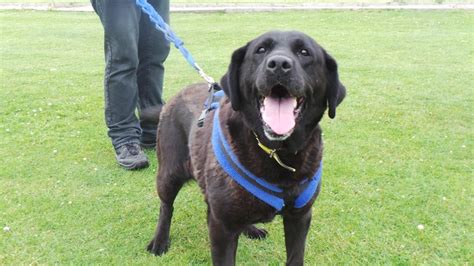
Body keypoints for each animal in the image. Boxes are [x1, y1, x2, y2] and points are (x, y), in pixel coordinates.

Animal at [146, 30, 346, 264]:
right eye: (261, 50)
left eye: (304, 52)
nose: (279, 64)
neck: (277, 152)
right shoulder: (222, 227)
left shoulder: (300, 217)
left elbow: (295, 257)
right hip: (169, 173)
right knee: (166, 206)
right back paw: (160, 240)